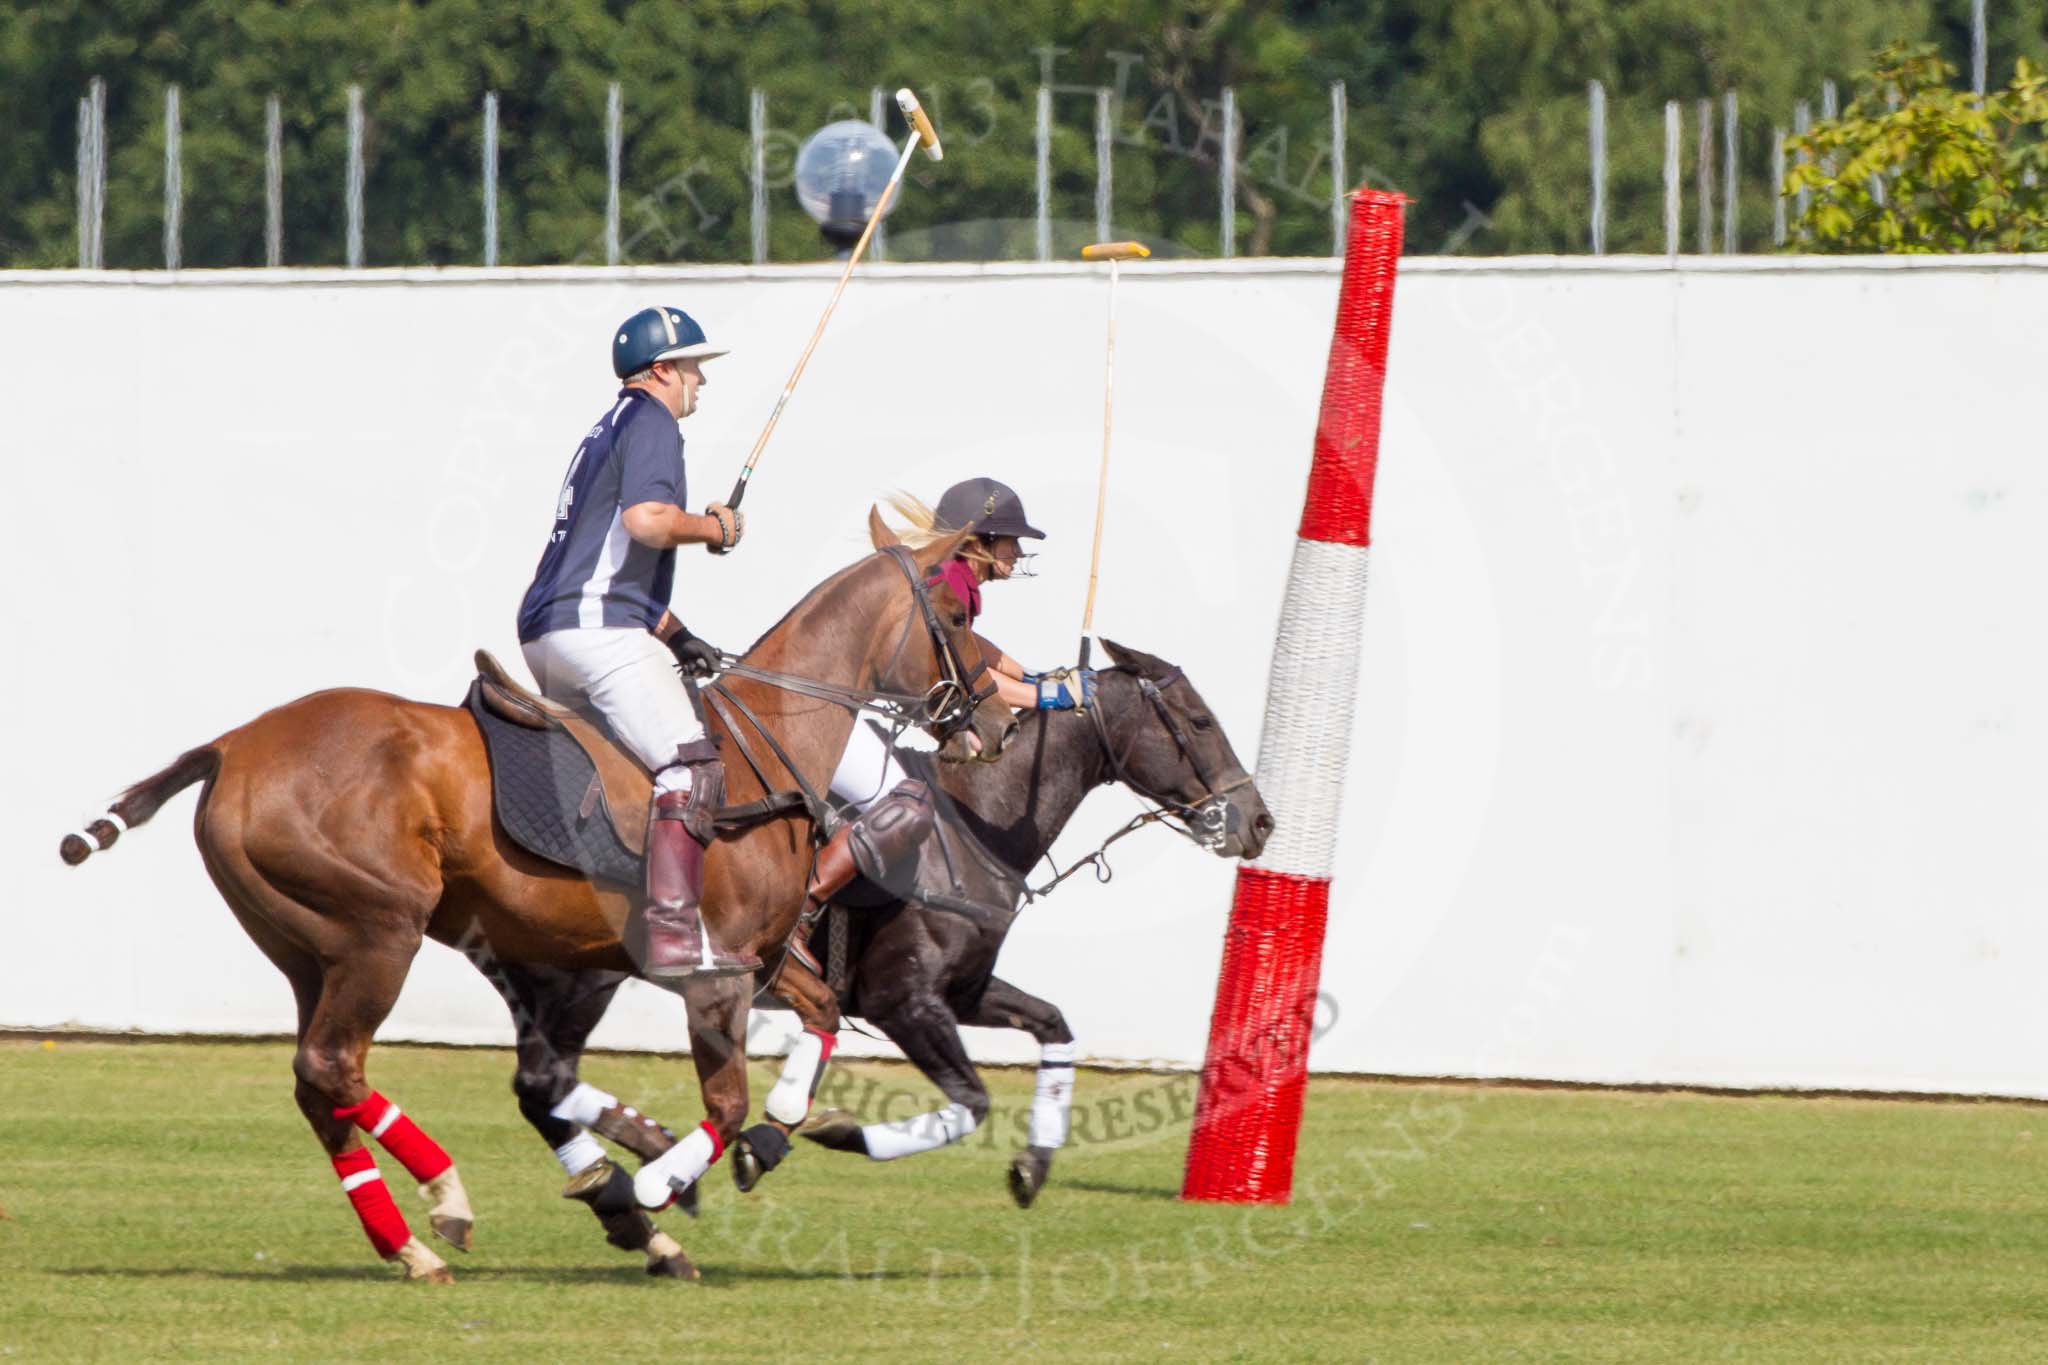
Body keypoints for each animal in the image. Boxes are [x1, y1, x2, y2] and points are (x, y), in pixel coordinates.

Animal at [59, 523, 1019, 1285]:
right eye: (959, 614)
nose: (994, 720)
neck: (766, 746)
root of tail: (228, 745)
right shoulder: (708, 974)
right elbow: (722, 1101)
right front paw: (661, 1180)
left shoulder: (744, 959)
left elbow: (810, 1028)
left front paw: (745, 1149)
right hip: (380, 931)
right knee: (334, 1065)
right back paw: (449, 1197)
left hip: (305, 946)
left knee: (318, 1083)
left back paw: (414, 1243)